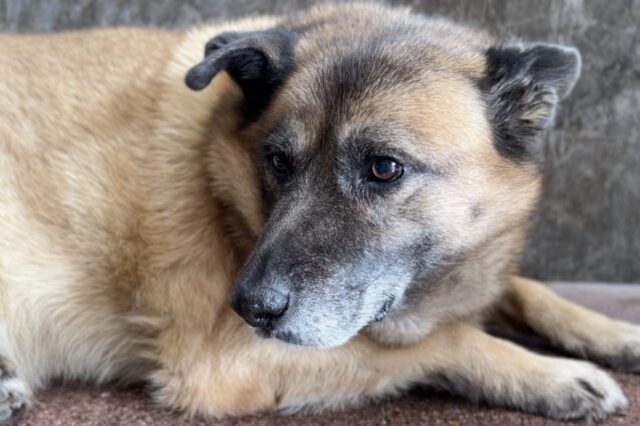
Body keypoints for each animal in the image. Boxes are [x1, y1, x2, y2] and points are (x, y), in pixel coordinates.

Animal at [1, 2, 640, 422]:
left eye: (384, 168)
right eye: (278, 162)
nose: (249, 308)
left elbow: (525, 289)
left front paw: (614, 332)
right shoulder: (227, 363)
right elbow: (443, 338)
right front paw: (553, 375)